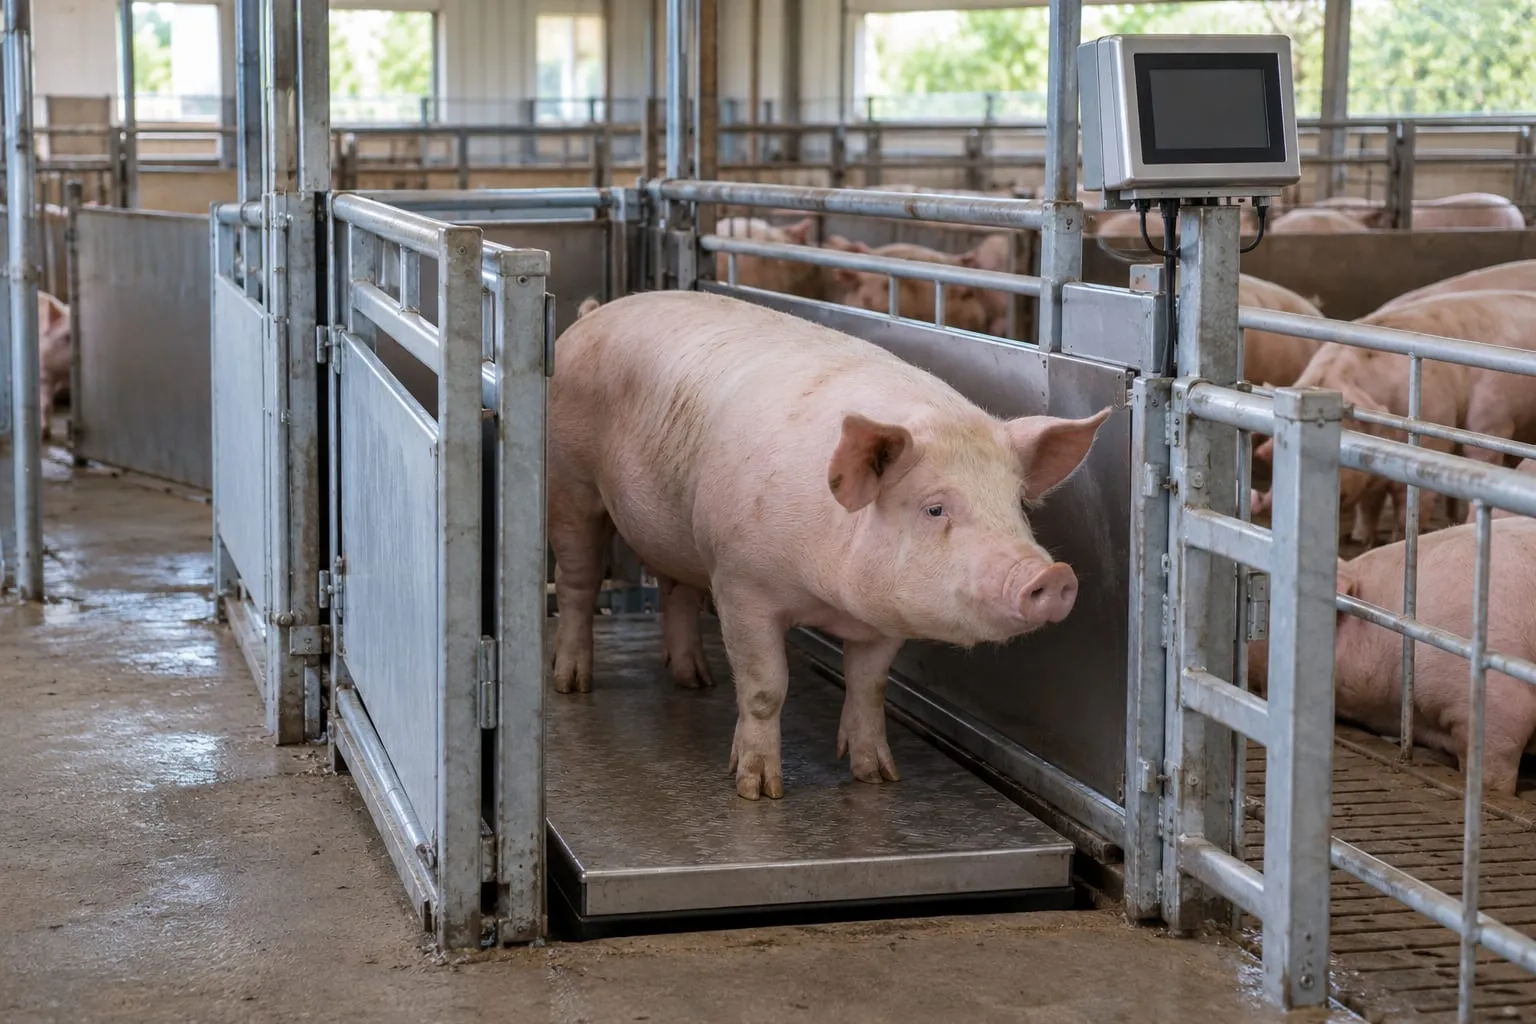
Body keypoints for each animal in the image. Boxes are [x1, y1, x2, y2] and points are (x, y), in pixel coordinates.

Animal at [547, 290, 1109, 799]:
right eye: (935, 508)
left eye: (1016, 504)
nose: (1051, 575)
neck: (826, 597)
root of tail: (592, 314)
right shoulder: (740, 583)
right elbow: (765, 688)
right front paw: (757, 790)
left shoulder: (884, 620)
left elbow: (870, 686)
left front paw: (878, 778)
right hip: (571, 483)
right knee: (578, 582)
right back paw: (571, 684)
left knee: (676, 589)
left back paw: (696, 681)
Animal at [1253, 291, 1536, 546]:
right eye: (1267, 453)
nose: (1266, 503)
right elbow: (1370, 502)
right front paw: (1362, 539)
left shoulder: (1439, 432)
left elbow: (1410, 502)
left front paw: (1398, 541)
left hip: (1491, 416)